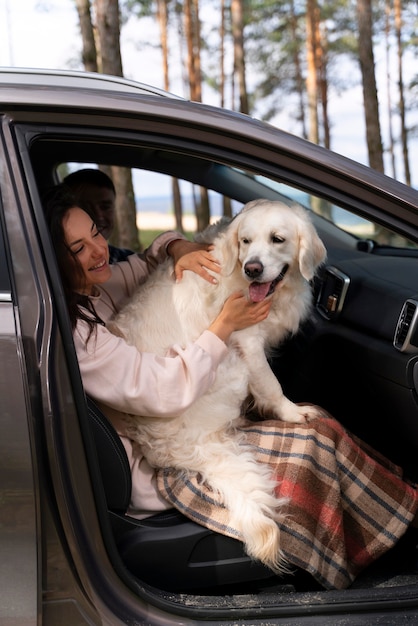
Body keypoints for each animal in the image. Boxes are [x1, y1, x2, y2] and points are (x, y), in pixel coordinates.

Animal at [109, 199, 328, 572]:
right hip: (230, 366)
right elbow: (271, 386)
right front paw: (293, 413)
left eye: (278, 239)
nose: (253, 268)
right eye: (246, 241)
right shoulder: (248, 343)